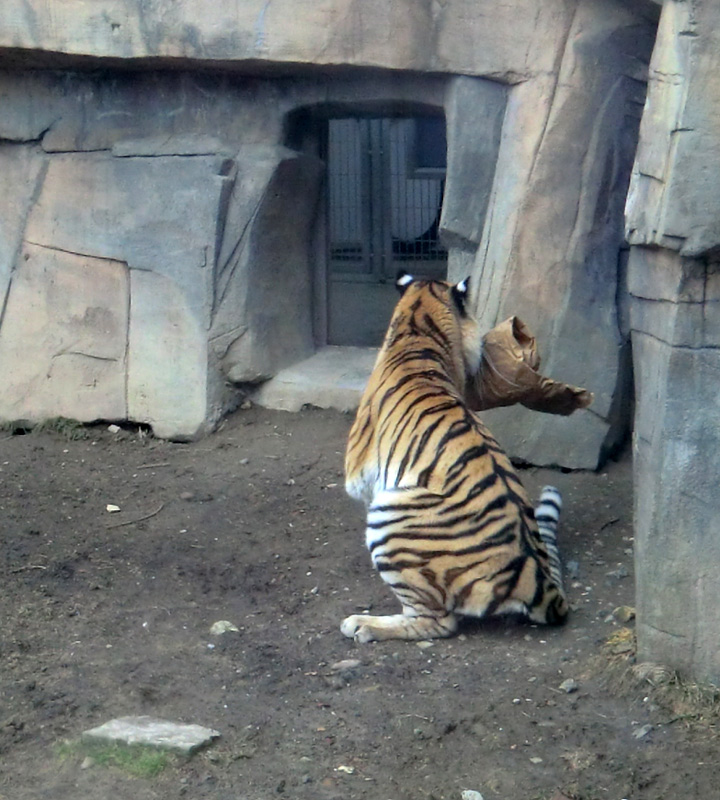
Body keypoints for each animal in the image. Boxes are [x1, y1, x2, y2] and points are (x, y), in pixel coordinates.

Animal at [342, 270, 568, 644]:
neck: (418, 329)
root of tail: (540, 580)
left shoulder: (360, 473)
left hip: (389, 518)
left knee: (437, 622)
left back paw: (364, 625)